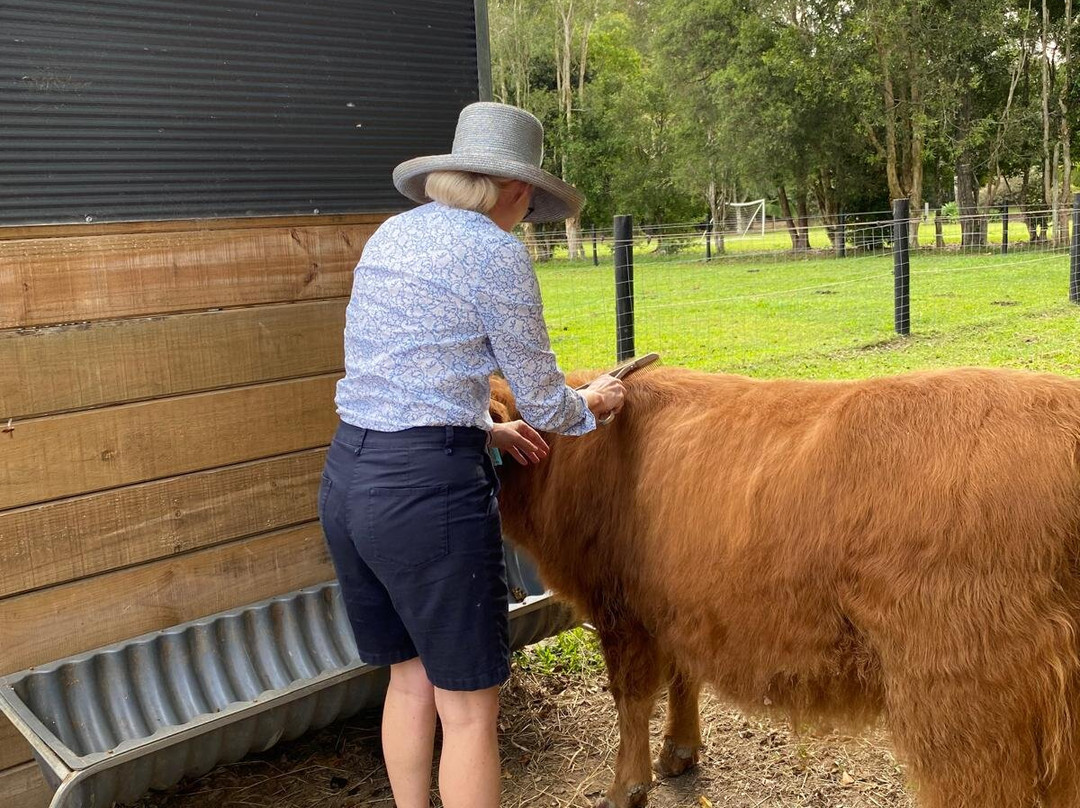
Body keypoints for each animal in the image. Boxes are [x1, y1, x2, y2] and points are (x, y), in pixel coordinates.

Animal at [488, 364, 1080, 808]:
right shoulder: (677, 602)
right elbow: (683, 676)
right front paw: (680, 750)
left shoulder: (621, 610)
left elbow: (631, 698)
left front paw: (625, 787)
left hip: (964, 705)